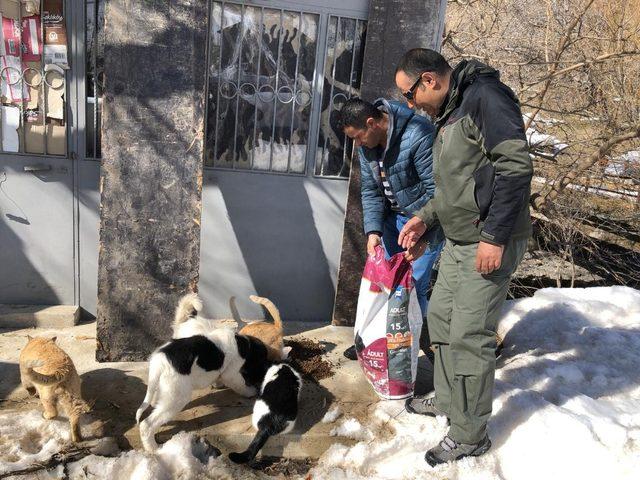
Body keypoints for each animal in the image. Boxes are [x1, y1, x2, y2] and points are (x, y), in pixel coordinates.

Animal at [137, 292, 270, 454]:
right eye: (262, 360)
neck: (243, 344)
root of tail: (159, 361)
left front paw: (218, 384)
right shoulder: (232, 374)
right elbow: (240, 384)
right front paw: (250, 391)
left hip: (164, 389)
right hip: (176, 397)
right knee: (147, 424)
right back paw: (153, 449)